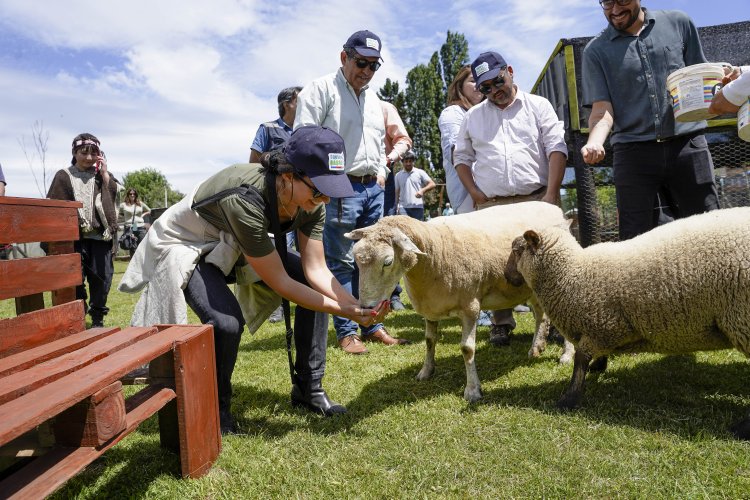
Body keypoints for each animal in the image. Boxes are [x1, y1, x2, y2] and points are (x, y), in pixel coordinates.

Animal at [346, 201, 576, 400]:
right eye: (356, 258)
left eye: (387, 262)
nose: (366, 307)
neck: (436, 249)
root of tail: (555, 208)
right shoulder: (430, 308)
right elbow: (429, 341)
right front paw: (426, 371)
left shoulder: (470, 308)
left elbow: (467, 349)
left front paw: (473, 390)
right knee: (540, 315)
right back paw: (536, 348)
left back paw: (566, 355)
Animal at [516, 207, 750, 442]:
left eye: (517, 250)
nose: (511, 280)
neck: (572, 273)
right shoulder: (601, 328)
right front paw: (597, 368)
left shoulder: (602, 327)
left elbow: (580, 361)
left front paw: (568, 399)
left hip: (742, 318)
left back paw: (741, 429)